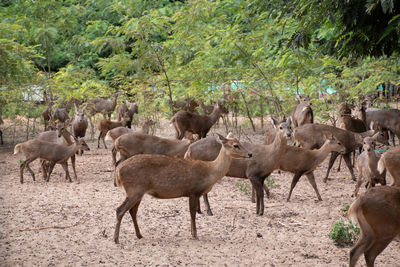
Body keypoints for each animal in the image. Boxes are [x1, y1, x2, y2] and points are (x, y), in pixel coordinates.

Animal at [112, 133, 250, 244]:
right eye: (236, 145)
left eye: (239, 142)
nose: (250, 154)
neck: (210, 172)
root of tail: (119, 171)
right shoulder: (193, 191)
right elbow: (193, 213)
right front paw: (195, 235)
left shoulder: (192, 193)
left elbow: (192, 213)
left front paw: (192, 233)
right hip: (134, 190)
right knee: (120, 210)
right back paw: (116, 239)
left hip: (138, 192)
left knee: (132, 211)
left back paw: (139, 235)